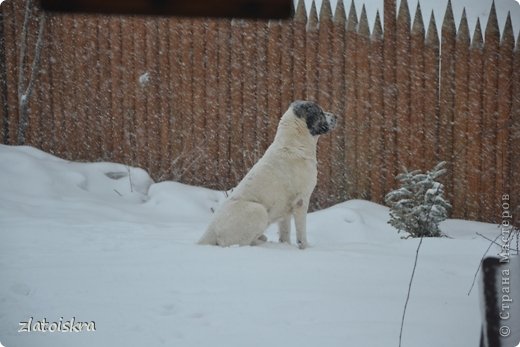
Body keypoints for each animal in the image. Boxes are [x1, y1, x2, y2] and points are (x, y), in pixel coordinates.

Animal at [198, 100, 338, 250]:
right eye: (320, 112)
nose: (336, 116)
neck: (294, 143)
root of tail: (210, 231)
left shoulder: (286, 210)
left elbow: (285, 232)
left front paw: (286, 245)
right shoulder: (301, 201)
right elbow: (301, 232)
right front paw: (305, 247)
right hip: (258, 210)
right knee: (244, 243)